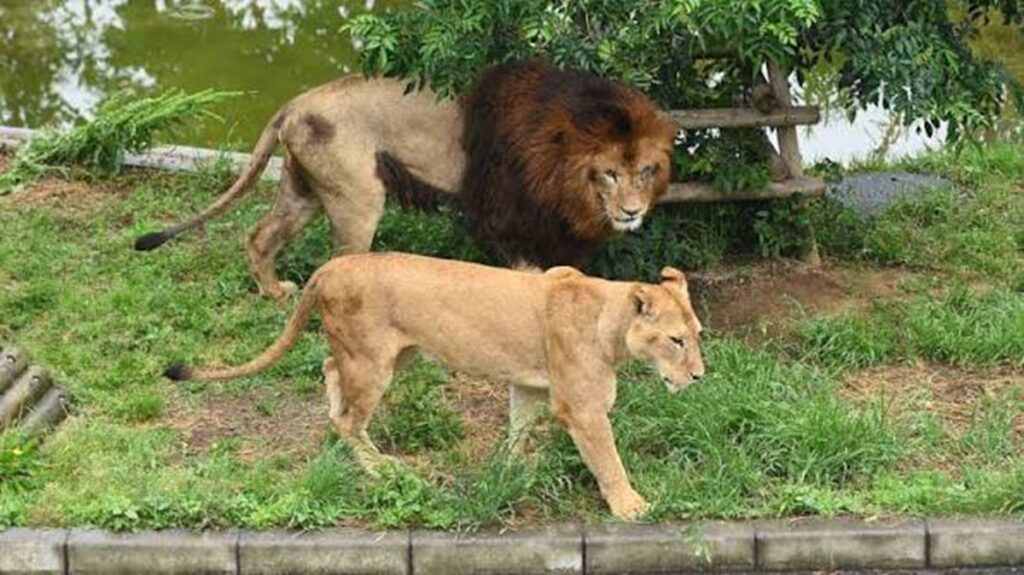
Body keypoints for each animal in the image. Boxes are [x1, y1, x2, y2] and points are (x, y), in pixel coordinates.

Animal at [134, 60, 677, 297]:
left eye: (645, 171)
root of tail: (293, 105)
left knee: (259, 236)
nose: (632, 212)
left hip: (303, 189)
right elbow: (528, 274)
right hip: (357, 197)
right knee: (340, 259)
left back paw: (274, 292)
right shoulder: (505, 219)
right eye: (609, 174)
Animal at [164, 252, 705, 520]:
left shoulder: (530, 385)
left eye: (698, 334)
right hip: (373, 362)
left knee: (330, 368)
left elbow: (518, 427)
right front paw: (631, 507)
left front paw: (509, 469)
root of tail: (330, 265)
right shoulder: (583, 407)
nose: (700, 377)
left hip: (390, 355)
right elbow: (608, 461)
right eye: (675, 340)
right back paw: (383, 470)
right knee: (349, 417)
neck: (611, 321)